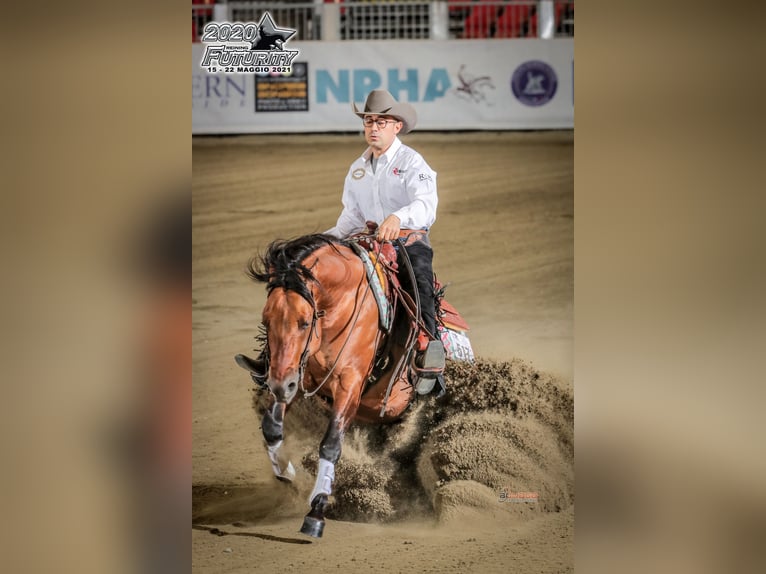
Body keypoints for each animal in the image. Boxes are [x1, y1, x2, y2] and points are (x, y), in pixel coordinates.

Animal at [234, 233, 440, 540]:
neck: (339, 308)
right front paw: (286, 471)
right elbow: (271, 428)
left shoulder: (349, 383)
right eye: (266, 320)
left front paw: (316, 511)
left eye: (304, 322)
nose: (279, 386)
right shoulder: (296, 375)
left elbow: (331, 444)